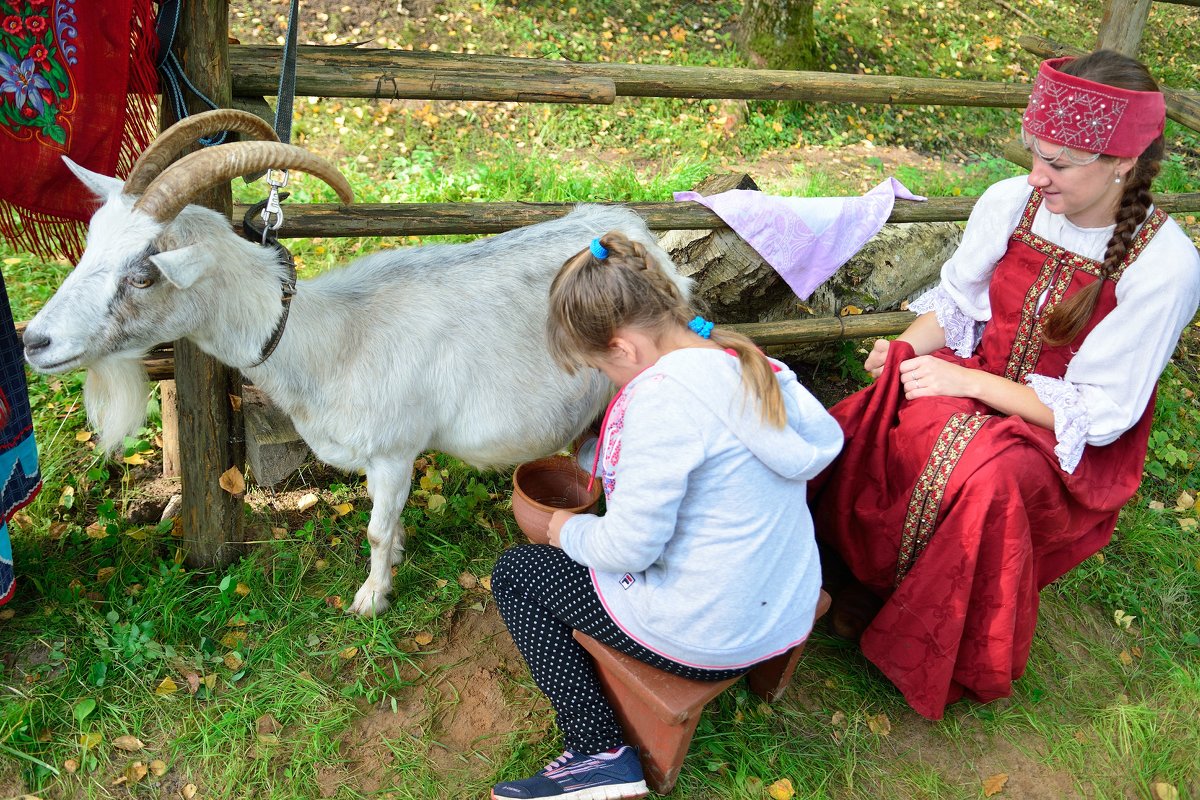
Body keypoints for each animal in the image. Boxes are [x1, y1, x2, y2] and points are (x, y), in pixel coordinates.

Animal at [23, 109, 691, 618]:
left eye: (143, 274)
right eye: (89, 243)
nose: (35, 342)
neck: (330, 338)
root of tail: (633, 231)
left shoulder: (394, 449)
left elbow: (373, 526)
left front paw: (372, 597)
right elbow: (385, 522)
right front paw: (393, 562)